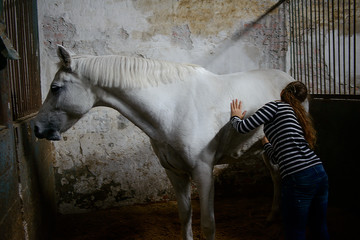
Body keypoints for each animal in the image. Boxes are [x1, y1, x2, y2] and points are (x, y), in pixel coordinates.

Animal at [34, 45, 292, 240]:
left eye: (55, 88)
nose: (36, 127)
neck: (174, 108)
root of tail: (289, 79)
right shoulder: (174, 172)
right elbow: (185, 216)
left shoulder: (203, 172)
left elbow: (208, 225)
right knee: (277, 175)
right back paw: (272, 217)